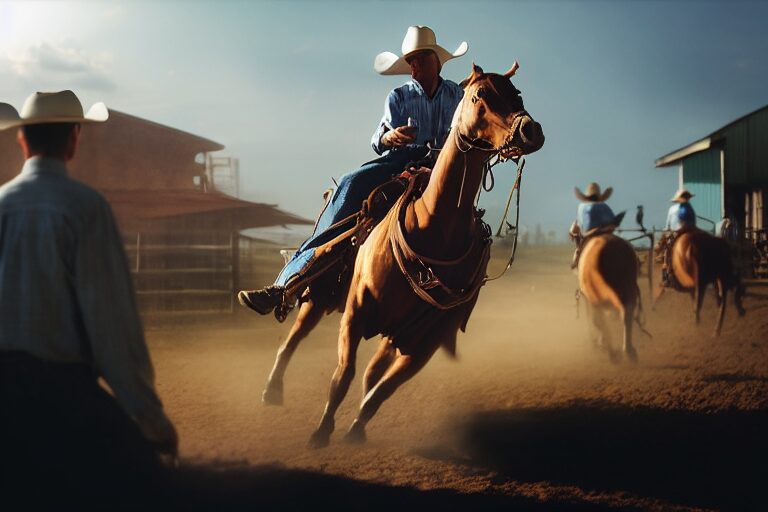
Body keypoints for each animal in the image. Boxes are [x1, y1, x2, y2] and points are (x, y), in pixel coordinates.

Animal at [580, 232, 644, 364]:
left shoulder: (593, 301)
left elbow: (598, 322)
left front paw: (603, 345)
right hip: (629, 290)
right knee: (626, 316)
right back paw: (629, 352)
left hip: (598, 300)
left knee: (600, 320)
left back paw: (614, 354)